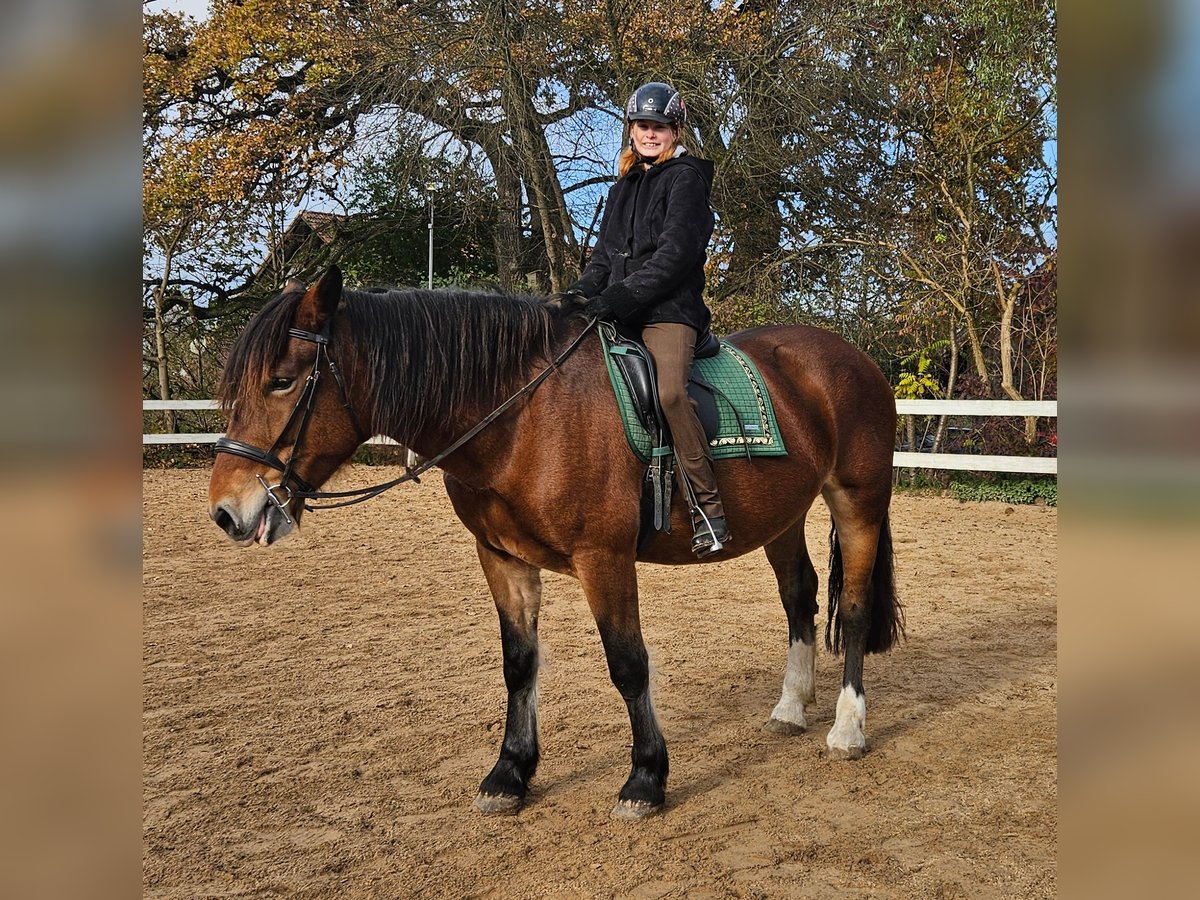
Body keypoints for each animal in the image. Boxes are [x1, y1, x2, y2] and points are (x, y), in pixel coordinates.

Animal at [208, 264, 902, 820]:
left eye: (282, 380)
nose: (226, 511)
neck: (521, 417)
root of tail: (849, 356)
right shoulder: (502, 558)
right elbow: (519, 664)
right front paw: (509, 773)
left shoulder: (605, 559)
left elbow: (628, 664)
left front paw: (645, 779)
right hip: (782, 518)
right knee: (800, 597)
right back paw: (790, 707)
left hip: (858, 502)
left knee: (854, 607)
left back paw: (847, 729)